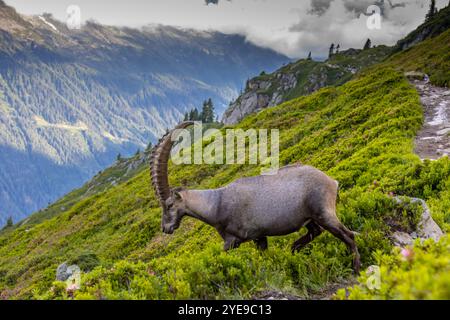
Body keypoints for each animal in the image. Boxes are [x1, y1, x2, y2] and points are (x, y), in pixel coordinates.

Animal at [151, 122, 362, 272]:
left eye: (169, 205)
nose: (165, 228)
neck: (216, 204)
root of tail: (332, 181)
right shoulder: (259, 237)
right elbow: (265, 257)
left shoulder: (232, 240)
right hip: (309, 218)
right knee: (316, 231)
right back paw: (294, 248)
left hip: (323, 212)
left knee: (347, 235)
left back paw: (356, 268)